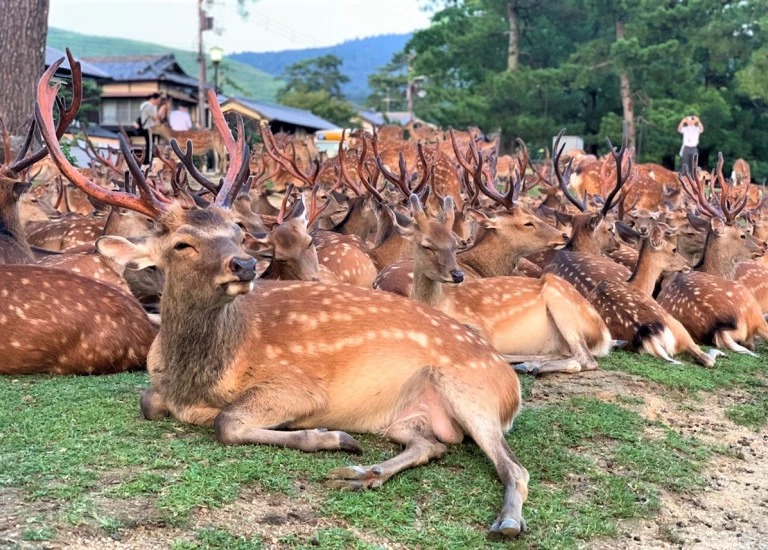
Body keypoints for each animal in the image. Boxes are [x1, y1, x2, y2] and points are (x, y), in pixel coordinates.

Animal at [37, 56, 536, 540]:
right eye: (182, 244)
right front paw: (340, 443)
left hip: (473, 392)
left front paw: (328, 436)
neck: (196, 378)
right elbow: (148, 402)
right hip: (407, 417)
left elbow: (226, 422)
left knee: (514, 467)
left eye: (237, 231)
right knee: (432, 444)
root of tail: (509, 384)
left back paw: (506, 521)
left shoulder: (297, 386)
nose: (243, 265)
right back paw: (363, 472)